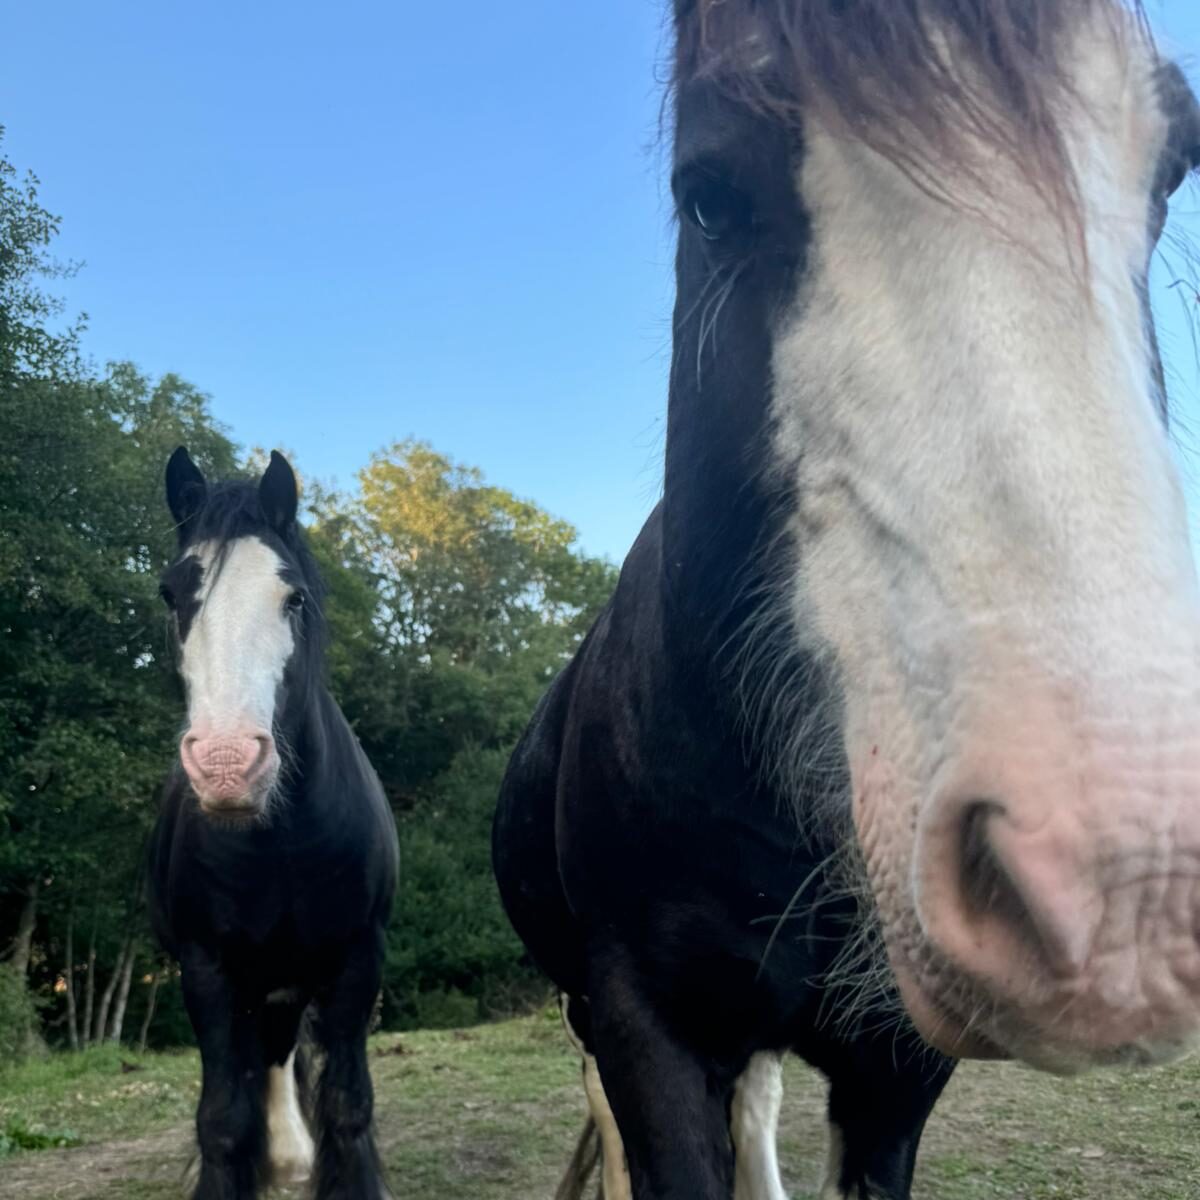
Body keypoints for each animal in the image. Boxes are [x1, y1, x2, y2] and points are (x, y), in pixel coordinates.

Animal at [148, 448, 398, 1200]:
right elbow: (223, 1120)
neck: (282, 844)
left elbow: (347, 1107)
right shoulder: (206, 970)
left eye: (294, 599)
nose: (228, 765)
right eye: (172, 594)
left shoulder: (358, 960)